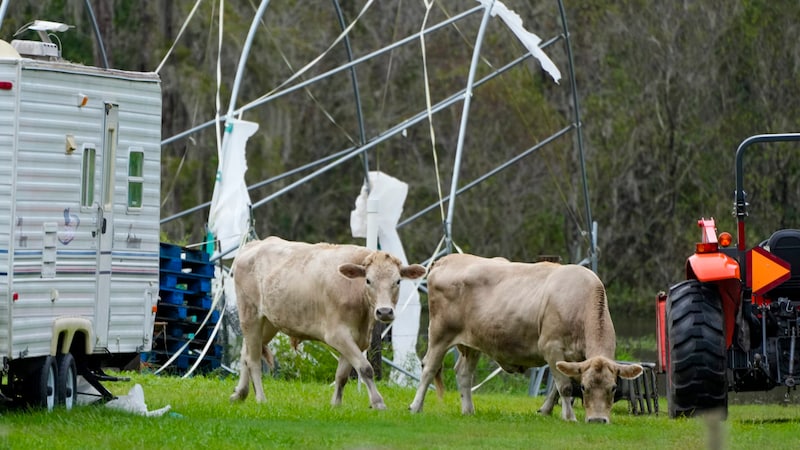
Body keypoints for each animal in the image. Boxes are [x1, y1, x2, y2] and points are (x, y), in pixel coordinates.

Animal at [228, 237, 428, 410]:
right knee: (253, 360)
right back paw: (260, 399)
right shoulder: (337, 335)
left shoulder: (358, 339)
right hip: (250, 314)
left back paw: (240, 393)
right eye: (368, 280)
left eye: (398, 281)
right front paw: (378, 402)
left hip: (269, 322)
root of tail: (255, 244)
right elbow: (365, 368)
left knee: (246, 352)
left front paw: (336, 405)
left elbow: (342, 375)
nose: (384, 311)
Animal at [412, 255, 644, 424]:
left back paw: (468, 410)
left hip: (472, 343)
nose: (597, 420)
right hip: (440, 334)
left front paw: (546, 410)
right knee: (429, 368)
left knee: (463, 373)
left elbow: (557, 387)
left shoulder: (571, 358)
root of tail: (446, 259)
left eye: (613, 388)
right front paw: (569, 417)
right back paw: (416, 407)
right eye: (585, 388)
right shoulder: (551, 347)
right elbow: (565, 387)